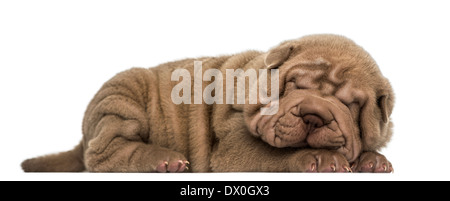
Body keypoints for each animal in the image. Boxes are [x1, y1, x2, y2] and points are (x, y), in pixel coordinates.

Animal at [22, 34, 394, 173]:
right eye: (293, 86)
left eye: (351, 104)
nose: (314, 115)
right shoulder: (232, 148)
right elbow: (271, 154)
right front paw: (320, 158)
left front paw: (373, 160)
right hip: (121, 97)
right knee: (105, 154)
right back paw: (163, 160)